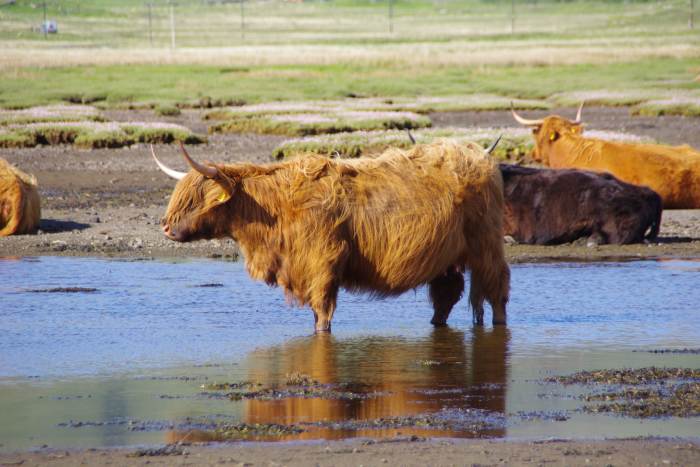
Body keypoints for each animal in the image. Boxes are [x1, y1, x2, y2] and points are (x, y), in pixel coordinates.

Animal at [153, 141, 508, 330]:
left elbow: (322, 311)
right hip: (446, 259)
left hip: (487, 245)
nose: (166, 226)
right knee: (447, 295)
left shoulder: (322, 262)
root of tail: (478, 155)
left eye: (194, 199)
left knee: (497, 287)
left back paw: (500, 323)